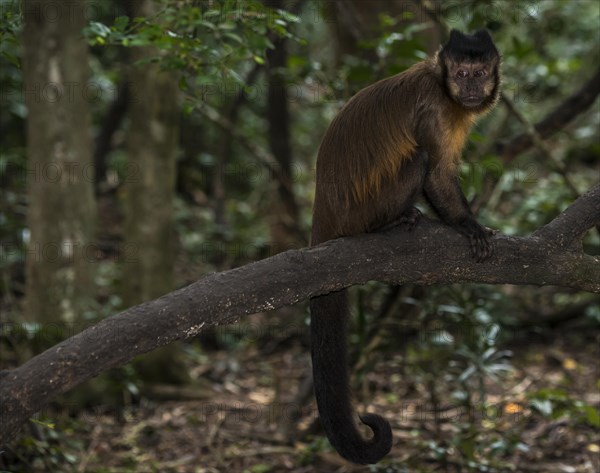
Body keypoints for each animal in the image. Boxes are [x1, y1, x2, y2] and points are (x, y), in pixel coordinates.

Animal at [310, 30, 502, 464]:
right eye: (461, 73)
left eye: (480, 73)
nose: (470, 88)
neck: (444, 89)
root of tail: (323, 208)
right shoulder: (434, 109)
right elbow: (437, 175)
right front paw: (468, 225)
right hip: (362, 209)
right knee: (419, 158)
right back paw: (391, 222)